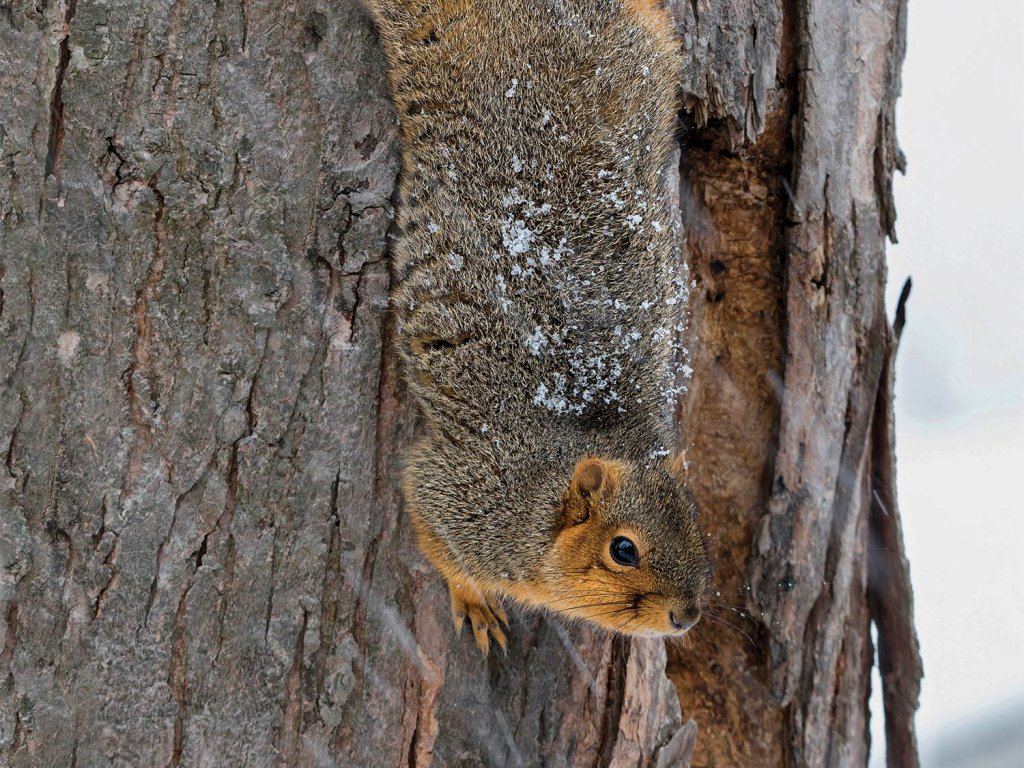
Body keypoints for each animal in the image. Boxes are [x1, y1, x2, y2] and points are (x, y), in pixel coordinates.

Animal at [368, 0, 711, 653]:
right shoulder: (461, 496)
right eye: (622, 550)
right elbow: (432, 533)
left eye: (698, 527)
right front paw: (475, 603)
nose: (687, 617)